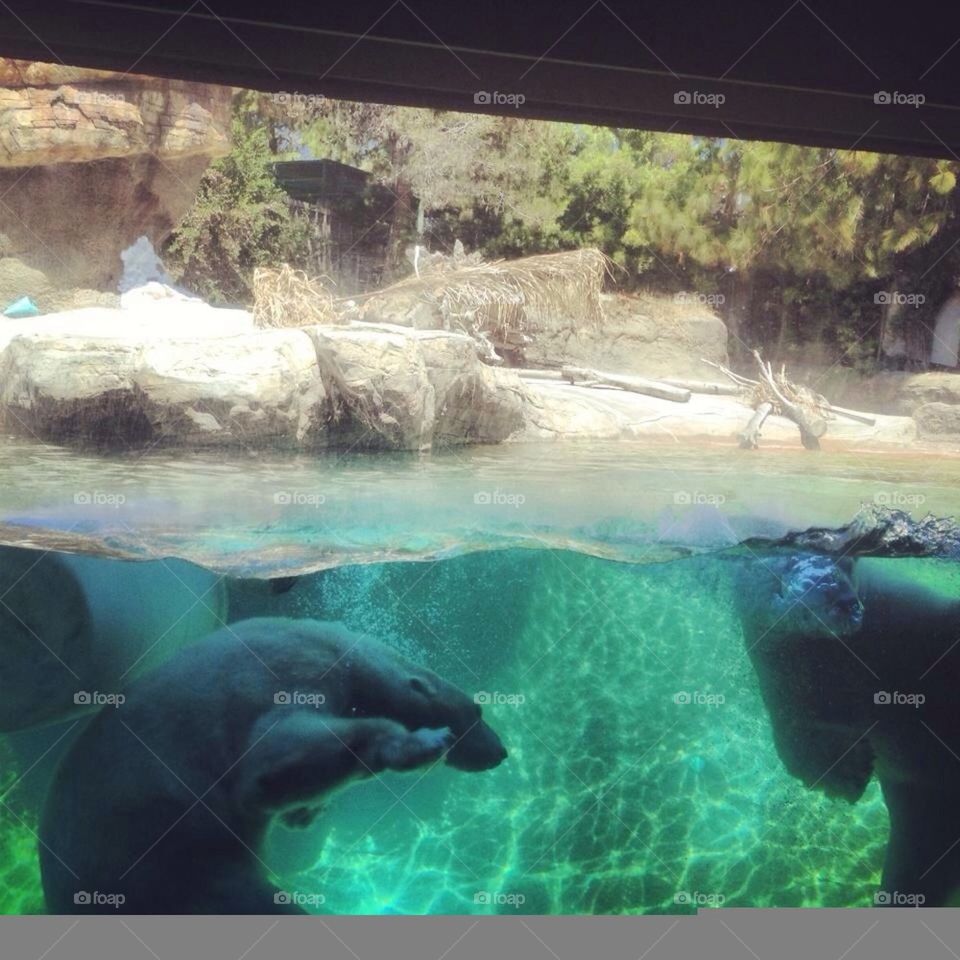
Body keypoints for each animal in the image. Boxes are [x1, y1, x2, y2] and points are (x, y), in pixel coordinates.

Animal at [39, 617, 507, 914]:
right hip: (167, 868)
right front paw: (422, 742)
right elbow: (269, 763)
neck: (340, 648)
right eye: (479, 710)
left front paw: (305, 813)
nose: (500, 753)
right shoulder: (291, 669)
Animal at [735, 553, 960, 906]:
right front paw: (842, 777)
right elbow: (800, 729)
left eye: (849, 560)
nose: (836, 596)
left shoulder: (912, 615)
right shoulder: (786, 669)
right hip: (924, 809)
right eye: (779, 566)